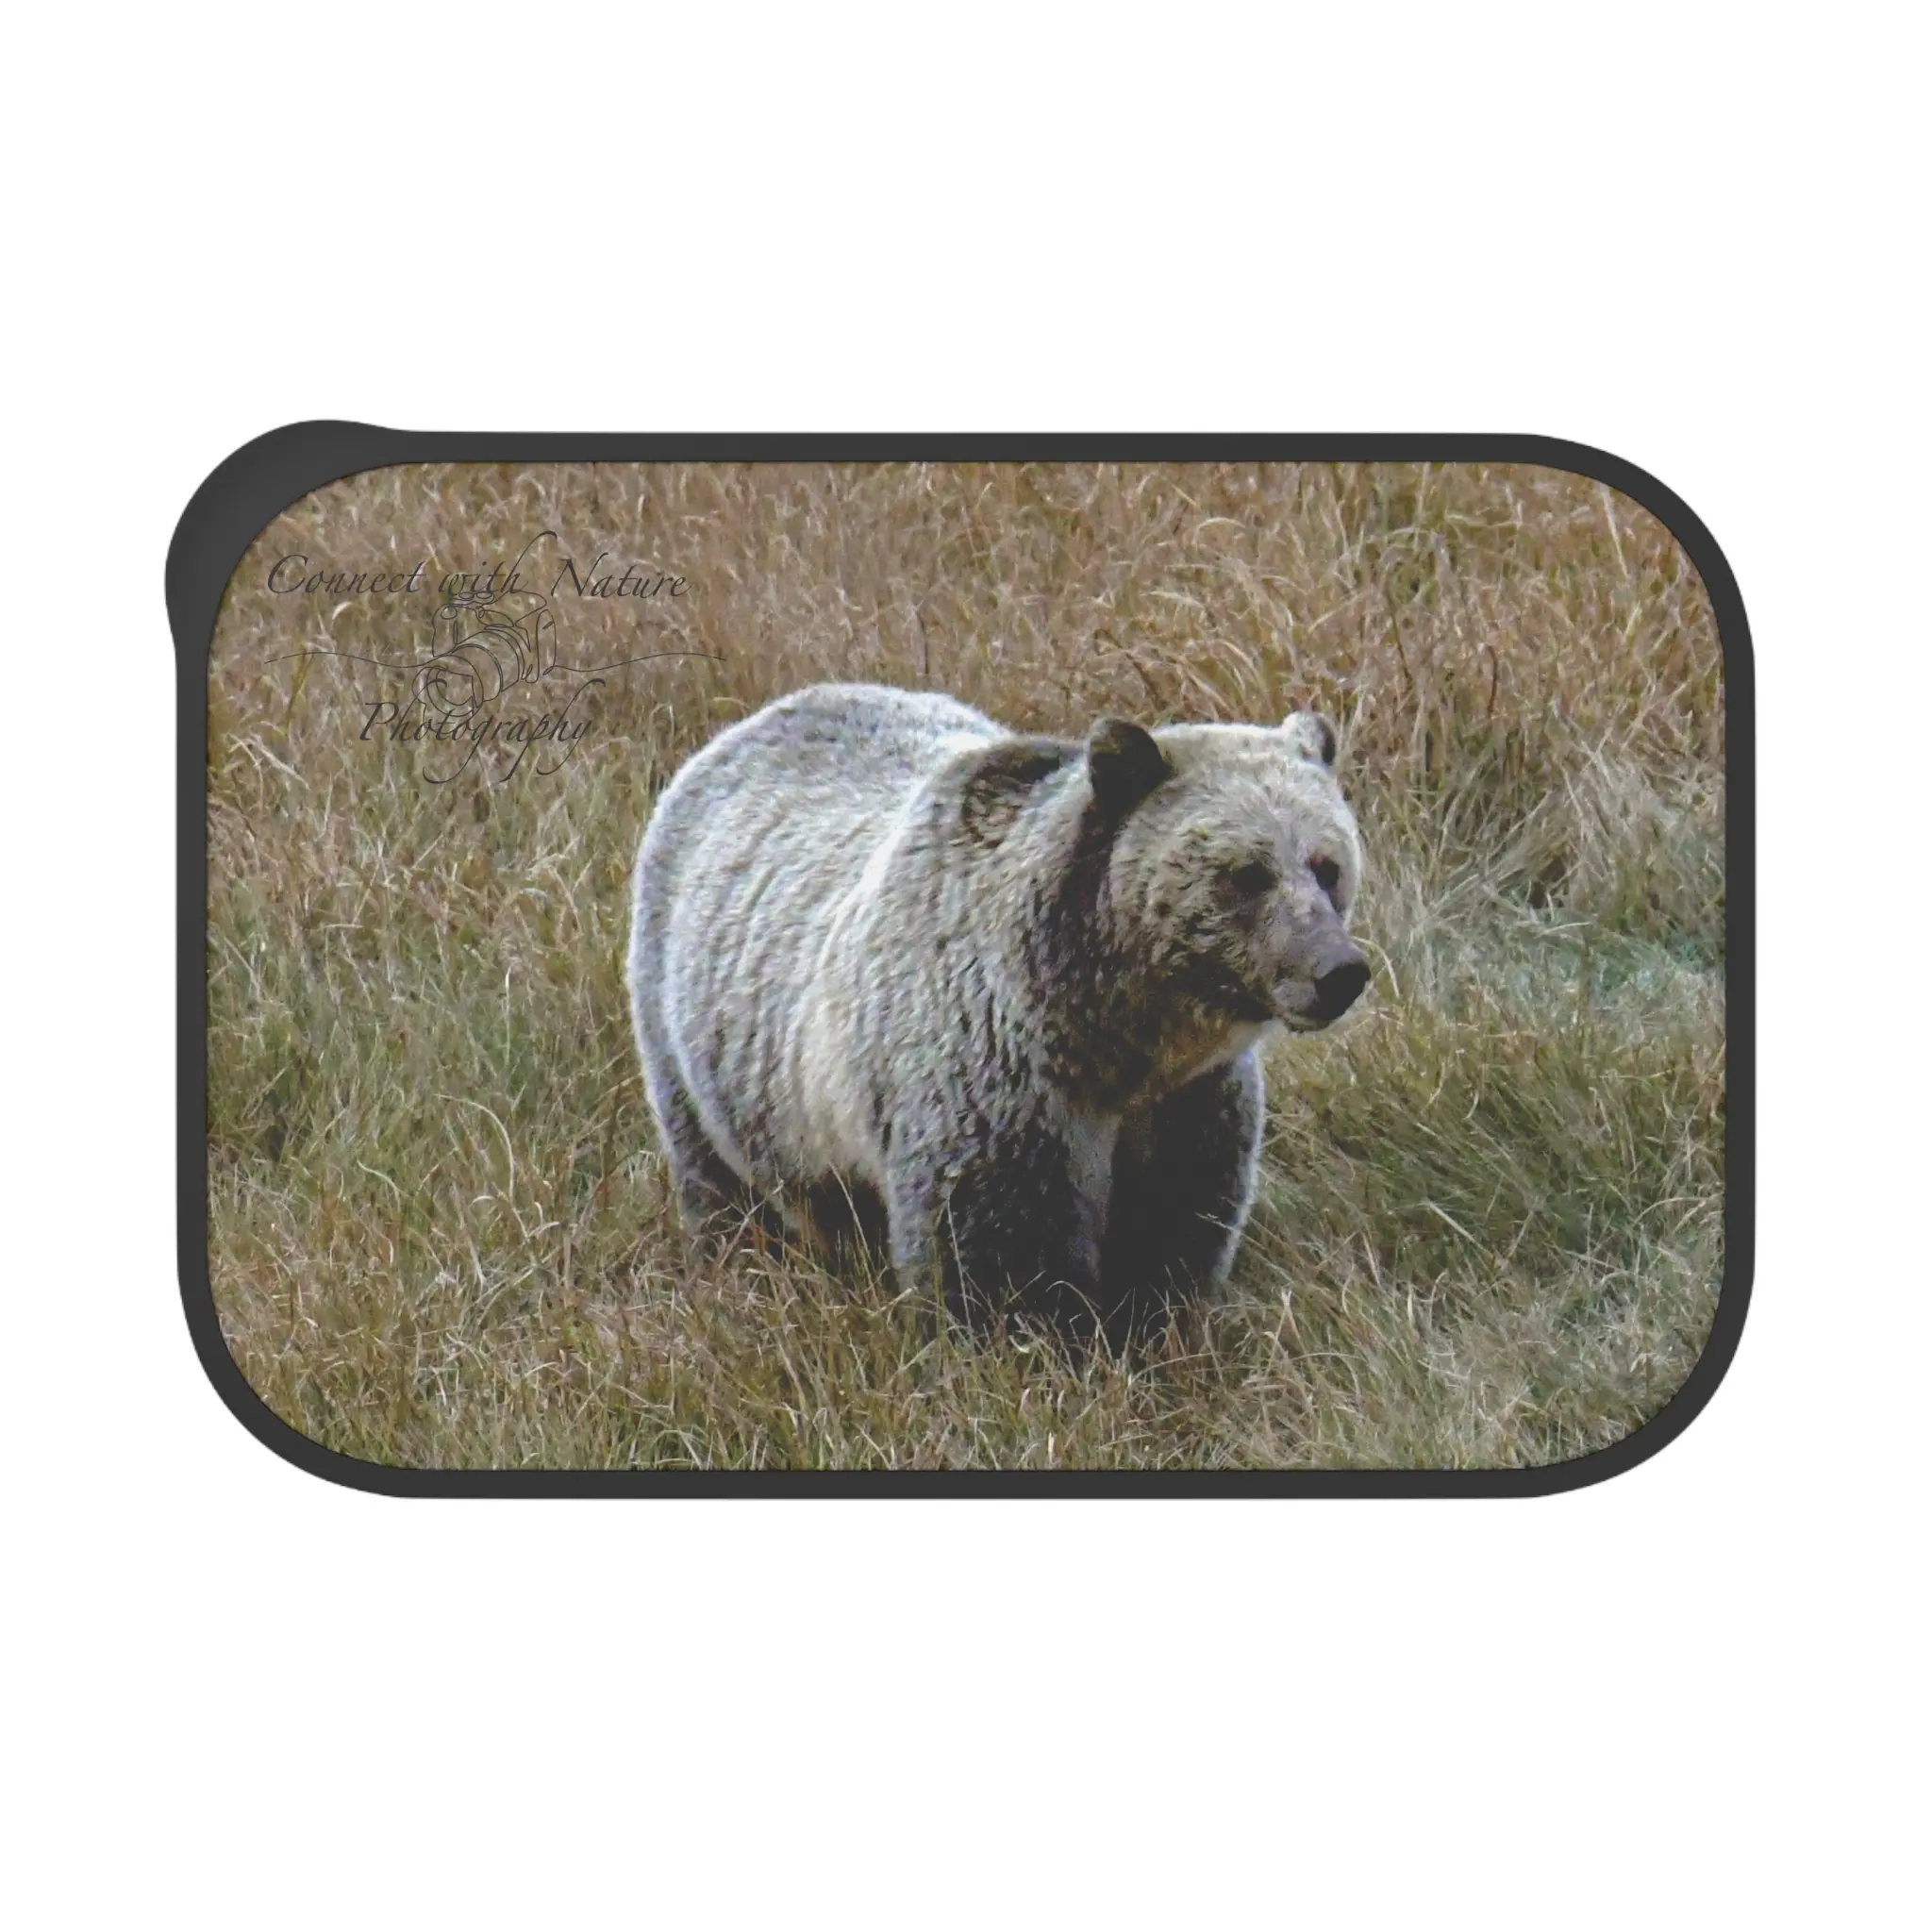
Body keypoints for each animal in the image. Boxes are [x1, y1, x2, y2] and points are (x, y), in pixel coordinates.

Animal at [627, 682, 1368, 1349]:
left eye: (1327, 864)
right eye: (1247, 874)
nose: (1338, 971)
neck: (1115, 1034)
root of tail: (743, 728)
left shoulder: (1189, 1100)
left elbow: (1178, 1225)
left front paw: (1158, 1326)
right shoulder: (996, 1078)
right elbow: (998, 1255)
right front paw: (1032, 1347)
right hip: (699, 1039)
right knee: (720, 1180)